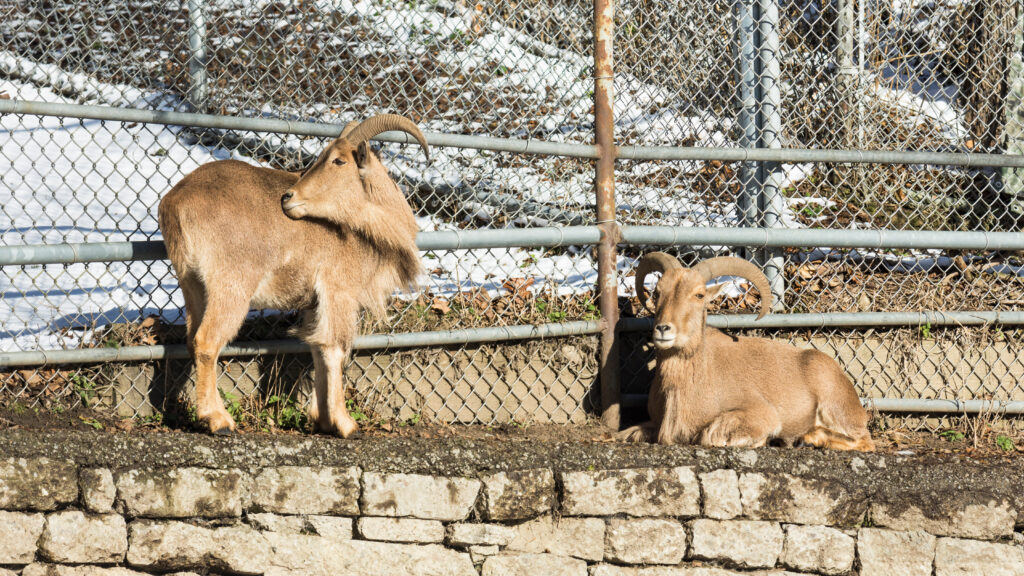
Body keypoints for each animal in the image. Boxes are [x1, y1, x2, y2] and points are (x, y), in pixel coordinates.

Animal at [158, 112, 428, 434]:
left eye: (338, 160)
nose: (288, 197)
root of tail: (174, 202)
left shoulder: (314, 302)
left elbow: (317, 348)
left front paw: (322, 419)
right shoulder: (339, 291)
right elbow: (335, 348)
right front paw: (345, 423)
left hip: (192, 284)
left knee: (191, 340)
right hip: (231, 286)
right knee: (207, 341)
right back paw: (217, 419)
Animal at [618, 251, 876, 448]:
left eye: (699, 294)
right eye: (657, 292)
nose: (663, 329)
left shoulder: (761, 413)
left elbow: (710, 436)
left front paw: (765, 441)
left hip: (837, 407)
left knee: (864, 442)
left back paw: (807, 439)